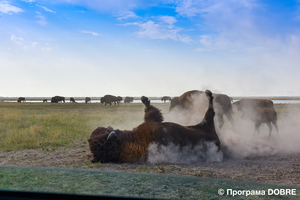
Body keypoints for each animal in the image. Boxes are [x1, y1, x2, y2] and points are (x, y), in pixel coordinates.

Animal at [87, 90, 220, 163]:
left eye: (102, 130)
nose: (107, 126)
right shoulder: (151, 122)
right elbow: (152, 112)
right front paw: (145, 99)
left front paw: (144, 98)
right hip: (206, 121)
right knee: (211, 111)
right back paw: (208, 93)